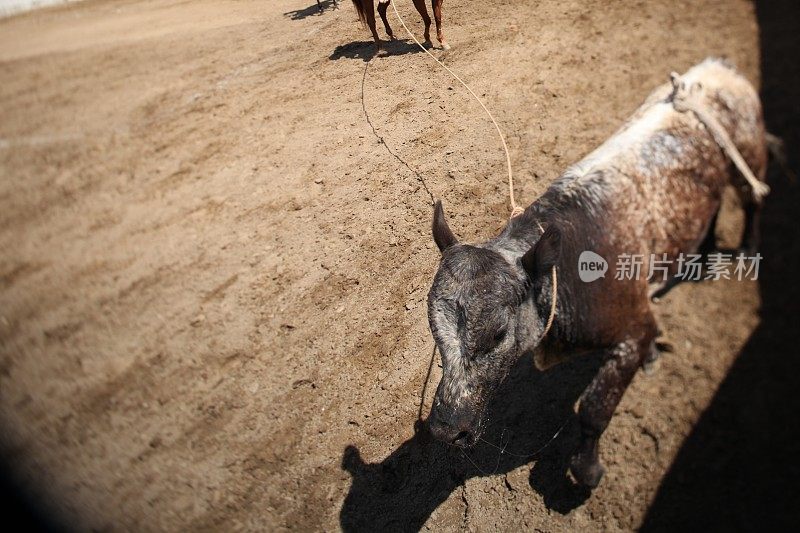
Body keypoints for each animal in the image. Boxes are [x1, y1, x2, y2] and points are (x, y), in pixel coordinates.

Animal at [424, 59, 768, 486]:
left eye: (499, 333)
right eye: (434, 329)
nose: (445, 430)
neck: (566, 272)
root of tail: (716, 68)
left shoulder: (631, 331)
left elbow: (593, 409)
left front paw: (586, 469)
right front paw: (654, 355)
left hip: (749, 154)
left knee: (752, 199)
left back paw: (746, 251)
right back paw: (700, 257)